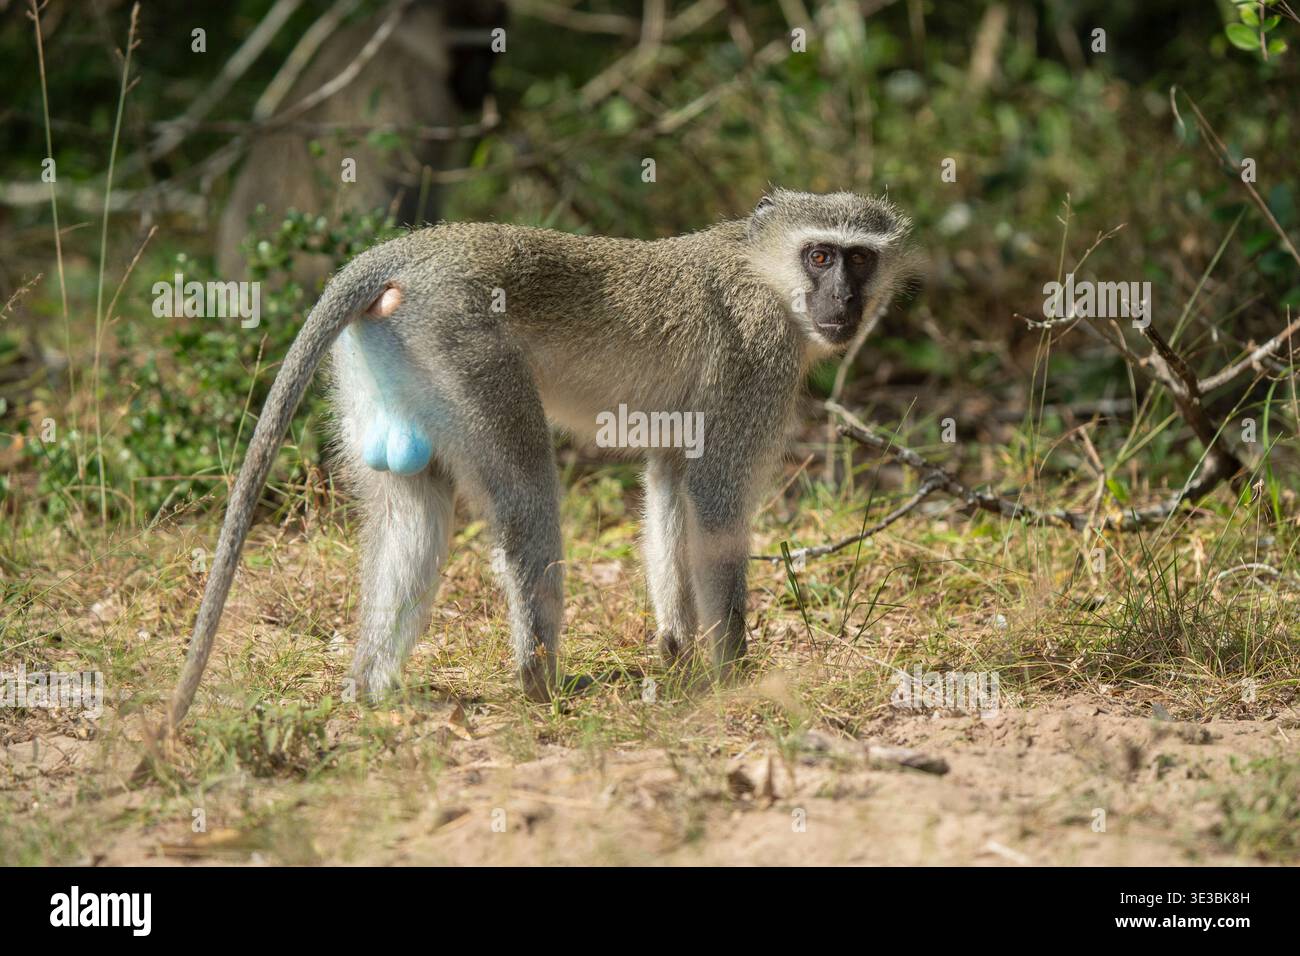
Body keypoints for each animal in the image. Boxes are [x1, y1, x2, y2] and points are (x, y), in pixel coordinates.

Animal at [157, 189, 912, 742]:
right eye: (820, 256)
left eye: (859, 261)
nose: (844, 302)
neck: (765, 272)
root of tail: (410, 251)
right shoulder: (758, 357)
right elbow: (716, 498)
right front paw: (735, 677)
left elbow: (671, 487)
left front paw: (676, 651)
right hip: (463, 345)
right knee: (527, 494)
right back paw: (539, 684)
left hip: (389, 358)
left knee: (412, 507)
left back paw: (370, 691)